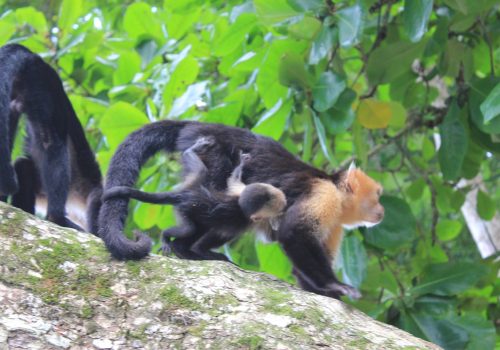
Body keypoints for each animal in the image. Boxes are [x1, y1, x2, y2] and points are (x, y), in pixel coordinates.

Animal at [101, 137, 286, 262]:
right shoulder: (241, 222)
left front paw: (242, 163)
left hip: (195, 180)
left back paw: (192, 150)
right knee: (188, 229)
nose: (284, 202)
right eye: (276, 204)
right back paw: (166, 237)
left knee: (201, 170)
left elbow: (232, 179)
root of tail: (184, 194)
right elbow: (209, 241)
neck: (240, 203)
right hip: (183, 211)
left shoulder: (241, 190)